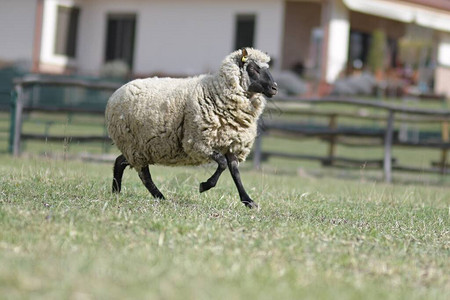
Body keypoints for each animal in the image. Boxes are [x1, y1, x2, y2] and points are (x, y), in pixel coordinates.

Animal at [106, 48, 278, 209]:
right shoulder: (197, 143)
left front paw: (248, 201)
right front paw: (205, 186)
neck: (217, 91)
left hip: (139, 147)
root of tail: (116, 93)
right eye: (254, 68)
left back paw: (116, 191)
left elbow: (235, 173)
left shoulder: (230, 144)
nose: (274, 87)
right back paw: (159, 197)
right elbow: (222, 164)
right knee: (144, 175)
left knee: (120, 162)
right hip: (133, 144)